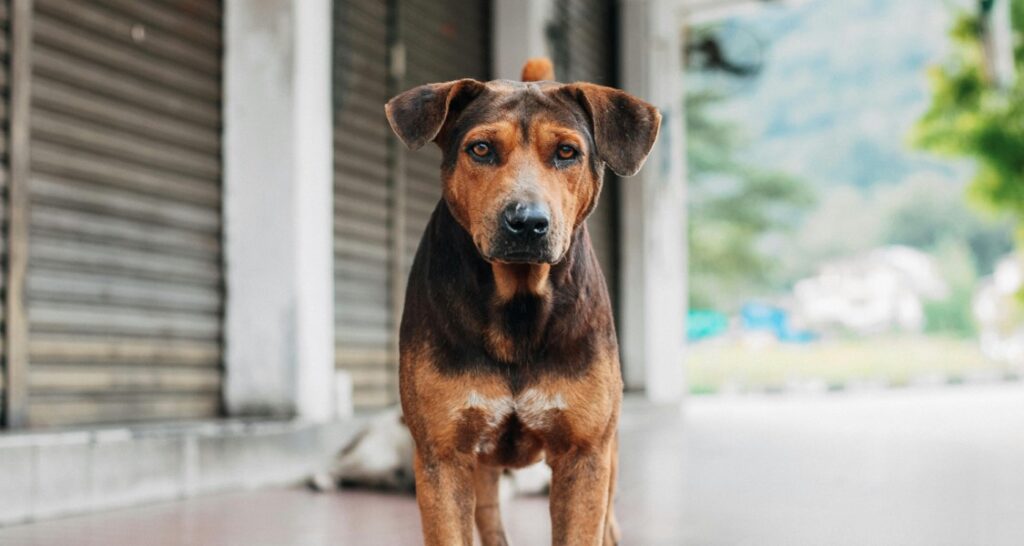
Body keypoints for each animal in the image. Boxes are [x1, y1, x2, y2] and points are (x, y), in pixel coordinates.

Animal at [385, 59, 663, 544]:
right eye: (480, 149)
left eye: (567, 152)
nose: (527, 222)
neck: (518, 302)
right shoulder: (443, 454)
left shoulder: (585, 454)